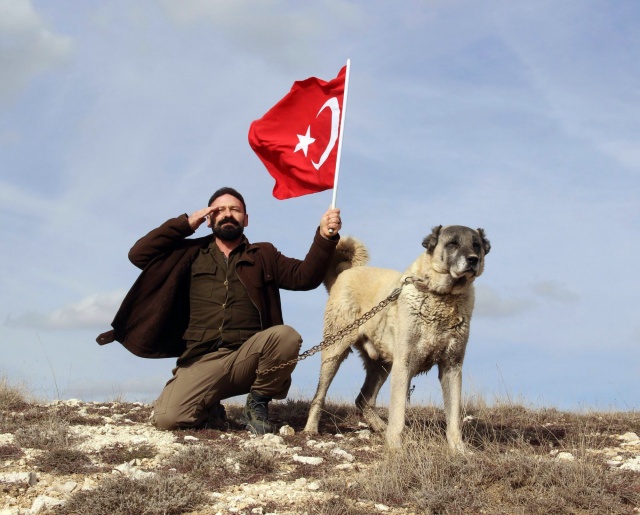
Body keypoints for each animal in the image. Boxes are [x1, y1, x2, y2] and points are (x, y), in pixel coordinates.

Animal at [304, 226, 490, 452]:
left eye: (476, 245)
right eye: (452, 243)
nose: (473, 260)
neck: (441, 296)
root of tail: (345, 273)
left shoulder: (452, 367)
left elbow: (453, 415)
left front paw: (458, 449)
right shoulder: (404, 364)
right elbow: (399, 411)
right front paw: (395, 446)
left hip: (381, 364)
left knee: (363, 399)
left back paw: (380, 427)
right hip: (334, 351)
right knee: (319, 396)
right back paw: (311, 428)